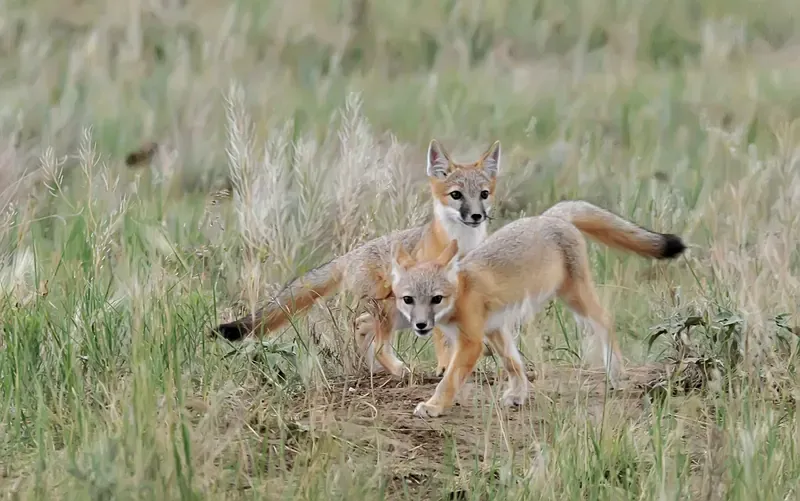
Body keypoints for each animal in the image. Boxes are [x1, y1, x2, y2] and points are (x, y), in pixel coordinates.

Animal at [213, 139, 501, 377]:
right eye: (456, 195)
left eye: (484, 194)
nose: (476, 216)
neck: (461, 245)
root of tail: (349, 255)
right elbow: (442, 339)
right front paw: (444, 367)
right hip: (391, 309)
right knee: (378, 341)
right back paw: (396, 369)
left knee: (361, 325)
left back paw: (376, 369)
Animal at [389, 200, 687, 418]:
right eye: (408, 300)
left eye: (436, 299)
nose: (421, 325)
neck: (462, 291)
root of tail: (549, 216)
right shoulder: (495, 328)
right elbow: (513, 363)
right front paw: (519, 395)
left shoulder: (472, 342)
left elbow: (449, 380)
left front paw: (434, 406)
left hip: (574, 297)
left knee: (606, 319)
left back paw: (615, 373)